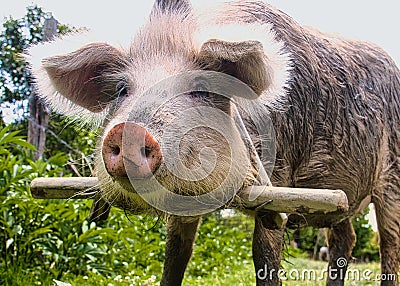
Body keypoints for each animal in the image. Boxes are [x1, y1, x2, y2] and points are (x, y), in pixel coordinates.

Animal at [26, 0, 398, 286]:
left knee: (389, 244)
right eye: (121, 90)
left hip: (392, 178)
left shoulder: (277, 182)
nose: (128, 131)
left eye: (203, 89)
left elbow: (265, 255)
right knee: (345, 238)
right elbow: (176, 256)